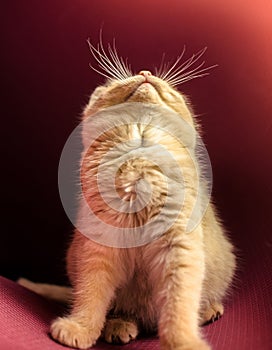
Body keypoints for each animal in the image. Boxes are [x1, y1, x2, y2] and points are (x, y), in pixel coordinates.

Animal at [20, 41, 236, 350]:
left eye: (169, 88)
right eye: (118, 82)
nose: (145, 73)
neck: (139, 153)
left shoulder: (179, 245)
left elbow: (179, 302)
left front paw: (185, 342)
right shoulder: (98, 247)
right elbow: (92, 293)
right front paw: (82, 328)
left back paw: (208, 310)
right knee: (122, 310)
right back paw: (119, 325)